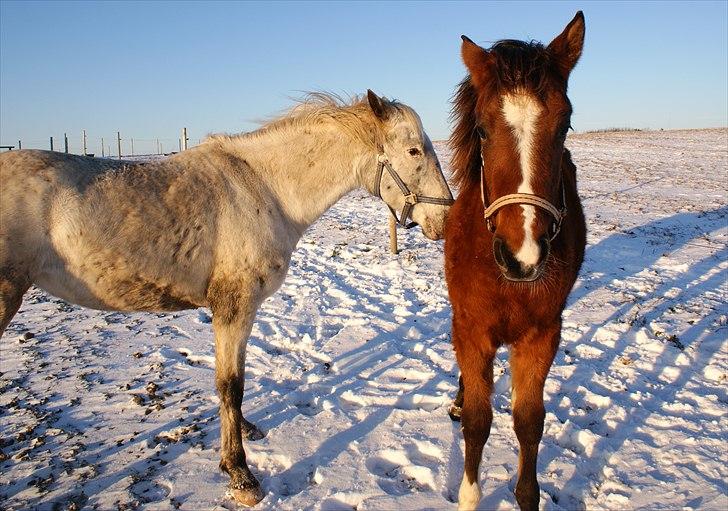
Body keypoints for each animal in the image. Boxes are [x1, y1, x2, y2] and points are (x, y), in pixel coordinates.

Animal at [444, 12, 592, 511]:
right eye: (482, 130)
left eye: (565, 126)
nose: (523, 255)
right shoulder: (471, 329)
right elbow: (477, 421)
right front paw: (469, 495)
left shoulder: (541, 335)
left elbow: (529, 421)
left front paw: (527, 494)